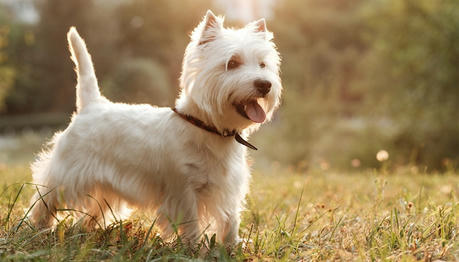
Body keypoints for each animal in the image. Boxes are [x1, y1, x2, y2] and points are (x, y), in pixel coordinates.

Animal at [30, 9, 282, 245]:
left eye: (262, 64)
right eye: (232, 63)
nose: (264, 84)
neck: (208, 128)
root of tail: (92, 104)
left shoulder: (228, 188)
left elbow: (230, 220)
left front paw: (232, 246)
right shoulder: (183, 189)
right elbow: (191, 221)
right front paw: (194, 247)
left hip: (104, 184)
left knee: (92, 210)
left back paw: (86, 231)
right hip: (67, 172)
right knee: (45, 198)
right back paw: (38, 228)